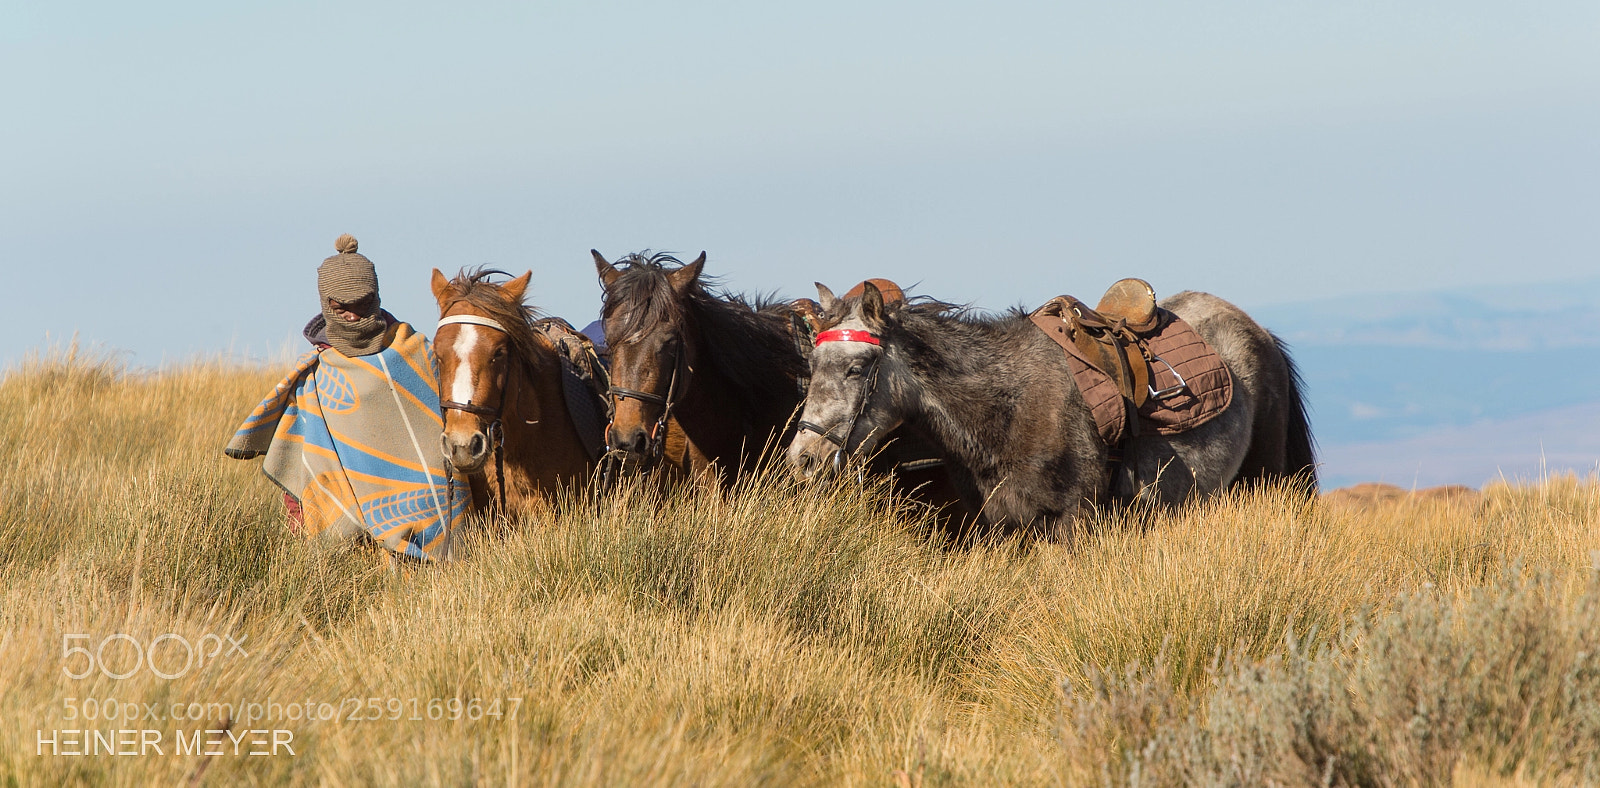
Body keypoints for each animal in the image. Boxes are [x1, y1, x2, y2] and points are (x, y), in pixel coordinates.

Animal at [787, 281, 1316, 537]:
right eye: (811, 363)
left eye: (858, 367)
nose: (803, 459)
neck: (1009, 408)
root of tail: (1260, 333)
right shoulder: (1003, 527)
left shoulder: (1072, 521)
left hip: (1268, 479)